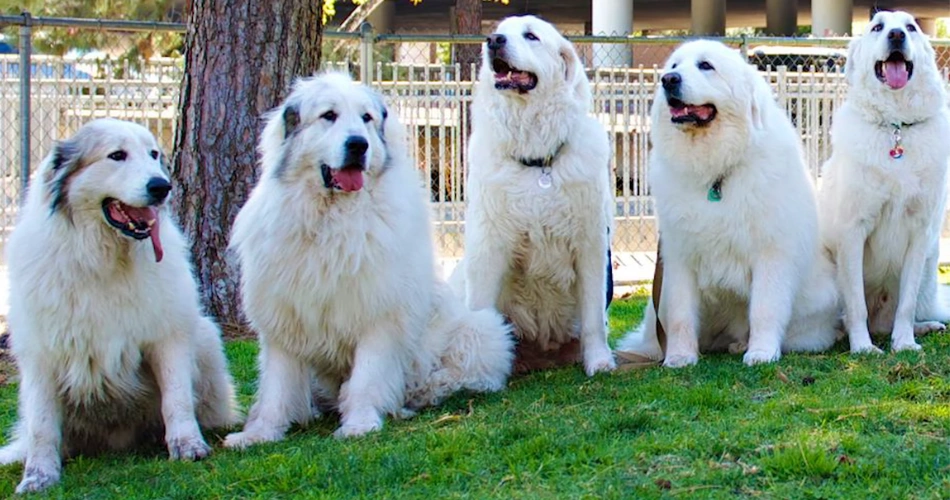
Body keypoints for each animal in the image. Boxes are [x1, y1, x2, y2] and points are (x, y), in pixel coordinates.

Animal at [0, 118, 238, 496]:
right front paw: (38, 475)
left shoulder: (167, 336)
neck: (103, 259)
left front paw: (187, 446)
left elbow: (177, 398)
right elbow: (42, 426)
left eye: (153, 154)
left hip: (204, 335)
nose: (162, 186)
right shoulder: (40, 354)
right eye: (116, 156)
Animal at [224, 71, 516, 446]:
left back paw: (417, 395)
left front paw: (360, 424)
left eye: (366, 118)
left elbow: (366, 376)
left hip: (481, 329)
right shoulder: (284, 316)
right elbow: (277, 386)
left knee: (460, 375)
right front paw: (259, 433)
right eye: (329, 115)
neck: (330, 219)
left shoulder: (379, 314)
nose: (358, 145)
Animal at [452, 14, 620, 376]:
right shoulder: (487, 246)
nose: (493, 41)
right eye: (498, 32)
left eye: (531, 36)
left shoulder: (590, 244)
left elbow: (593, 316)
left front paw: (599, 360)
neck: (538, 159)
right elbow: (478, 312)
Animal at [620, 40, 844, 368]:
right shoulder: (680, 258)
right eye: (674, 66)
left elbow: (765, 309)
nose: (668, 80)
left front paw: (762, 352)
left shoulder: (771, 255)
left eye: (705, 66)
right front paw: (679, 357)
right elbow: (680, 316)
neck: (716, 172)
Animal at [820, 10, 950, 356]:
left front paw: (904, 342)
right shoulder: (853, 231)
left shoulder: (920, 233)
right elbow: (856, 305)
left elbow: (906, 303)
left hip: (930, 269)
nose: (896, 35)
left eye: (911, 27)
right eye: (877, 27)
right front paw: (863, 348)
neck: (896, 126)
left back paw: (925, 326)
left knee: (897, 316)